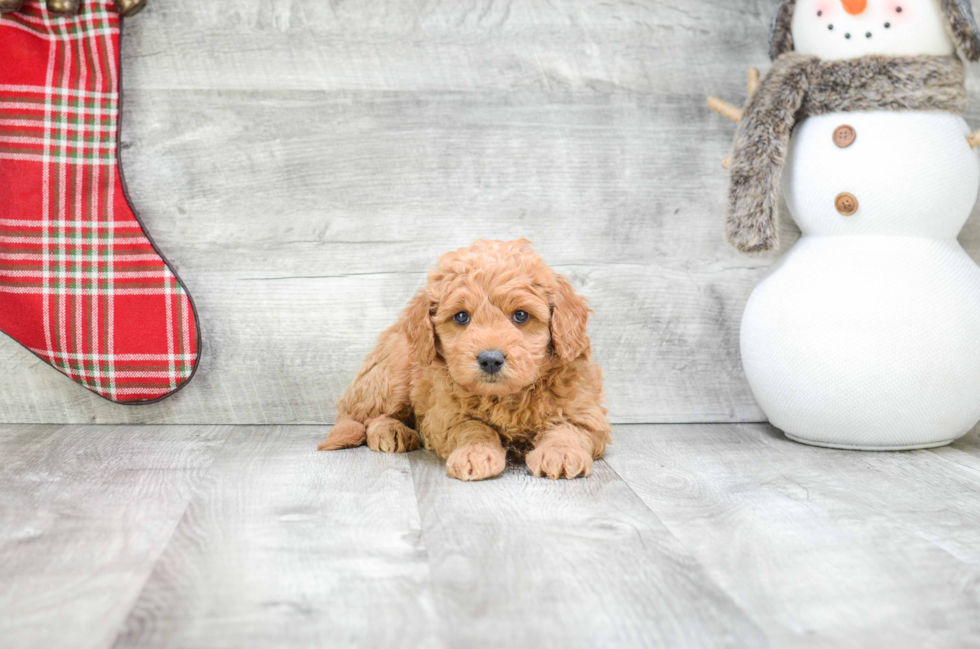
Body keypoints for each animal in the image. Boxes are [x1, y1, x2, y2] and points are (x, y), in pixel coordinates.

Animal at [322, 239, 612, 480]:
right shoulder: (444, 415)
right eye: (461, 317)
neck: (506, 398)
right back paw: (392, 432)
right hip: (394, 372)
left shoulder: (585, 411)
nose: (490, 360)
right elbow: (472, 427)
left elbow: (568, 428)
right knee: (369, 417)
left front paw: (561, 453)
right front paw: (476, 453)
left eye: (521, 315)